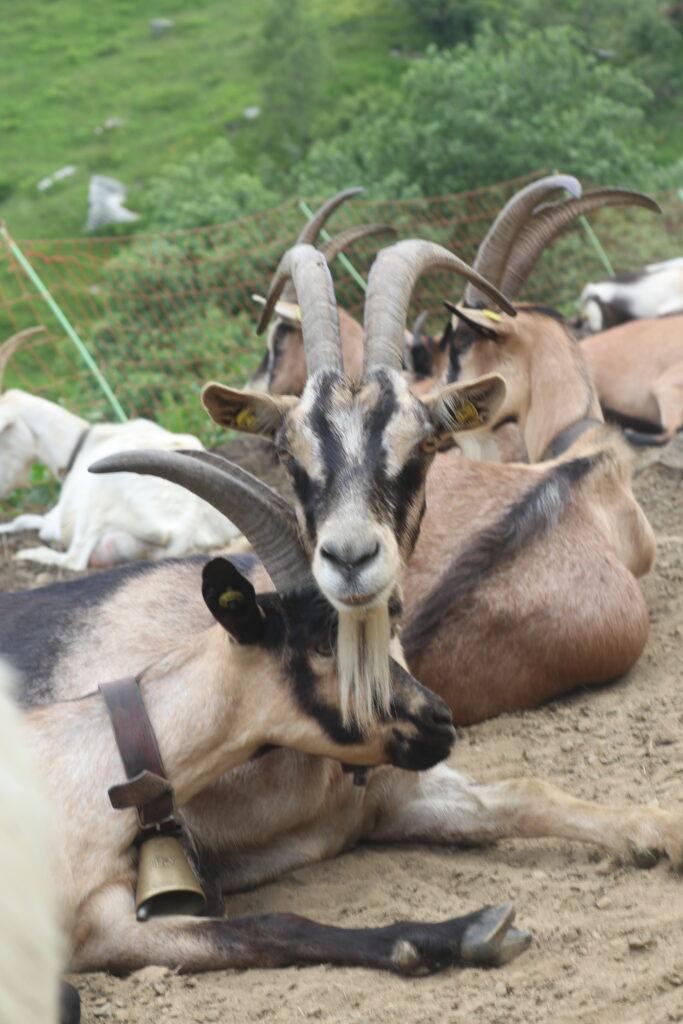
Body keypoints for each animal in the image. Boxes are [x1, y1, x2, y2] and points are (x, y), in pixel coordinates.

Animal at [0, 328, 240, 570]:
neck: (83, 443)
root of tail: (182, 530)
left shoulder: (59, 517)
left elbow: (29, 521)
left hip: (96, 501)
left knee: (74, 559)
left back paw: (31, 553)